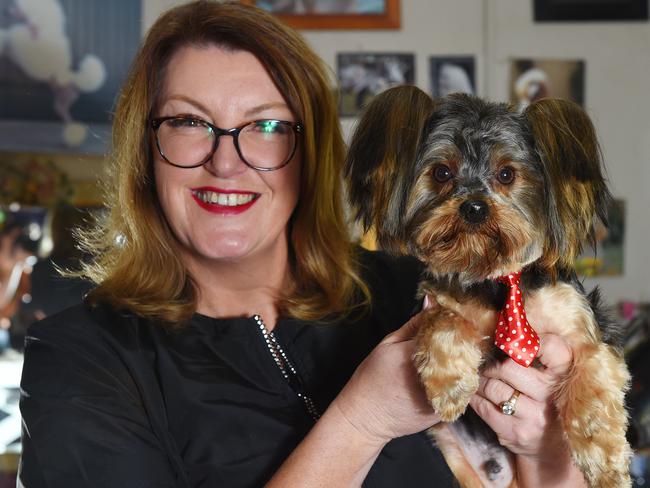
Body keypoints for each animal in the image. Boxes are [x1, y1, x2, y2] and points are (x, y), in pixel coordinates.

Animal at [346, 86, 632, 486]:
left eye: (507, 174)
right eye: (442, 172)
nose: (474, 207)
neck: (496, 281)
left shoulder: (586, 329)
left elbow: (591, 380)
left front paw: (605, 464)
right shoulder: (433, 303)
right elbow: (444, 320)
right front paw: (449, 385)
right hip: (453, 454)